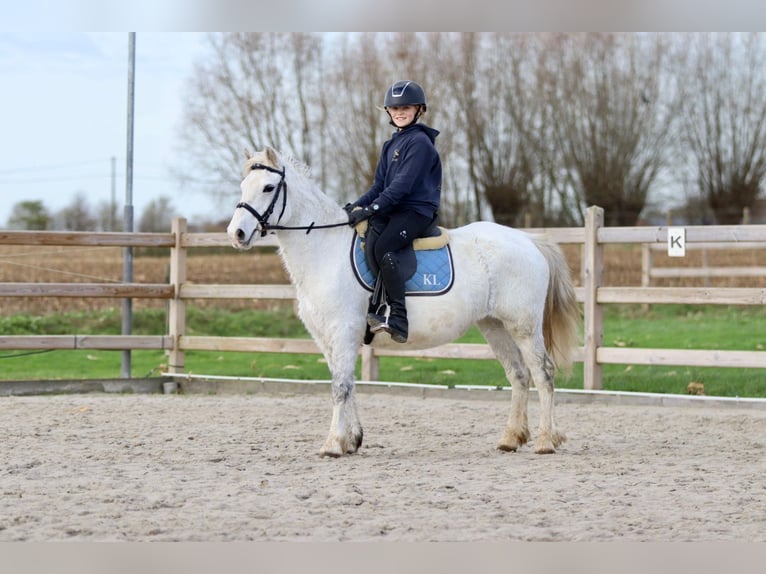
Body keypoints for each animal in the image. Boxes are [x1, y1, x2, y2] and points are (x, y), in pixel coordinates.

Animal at [228, 147, 584, 460]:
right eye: (243, 186)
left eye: (268, 187)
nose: (237, 233)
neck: (324, 250)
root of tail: (527, 240)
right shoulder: (327, 338)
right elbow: (347, 384)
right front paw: (351, 440)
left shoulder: (344, 331)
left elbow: (339, 387)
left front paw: (332, 445)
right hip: (494, 326)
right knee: (518, 375)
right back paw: (511, 439)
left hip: (523, 326)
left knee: (543, 373)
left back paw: (545, 441)